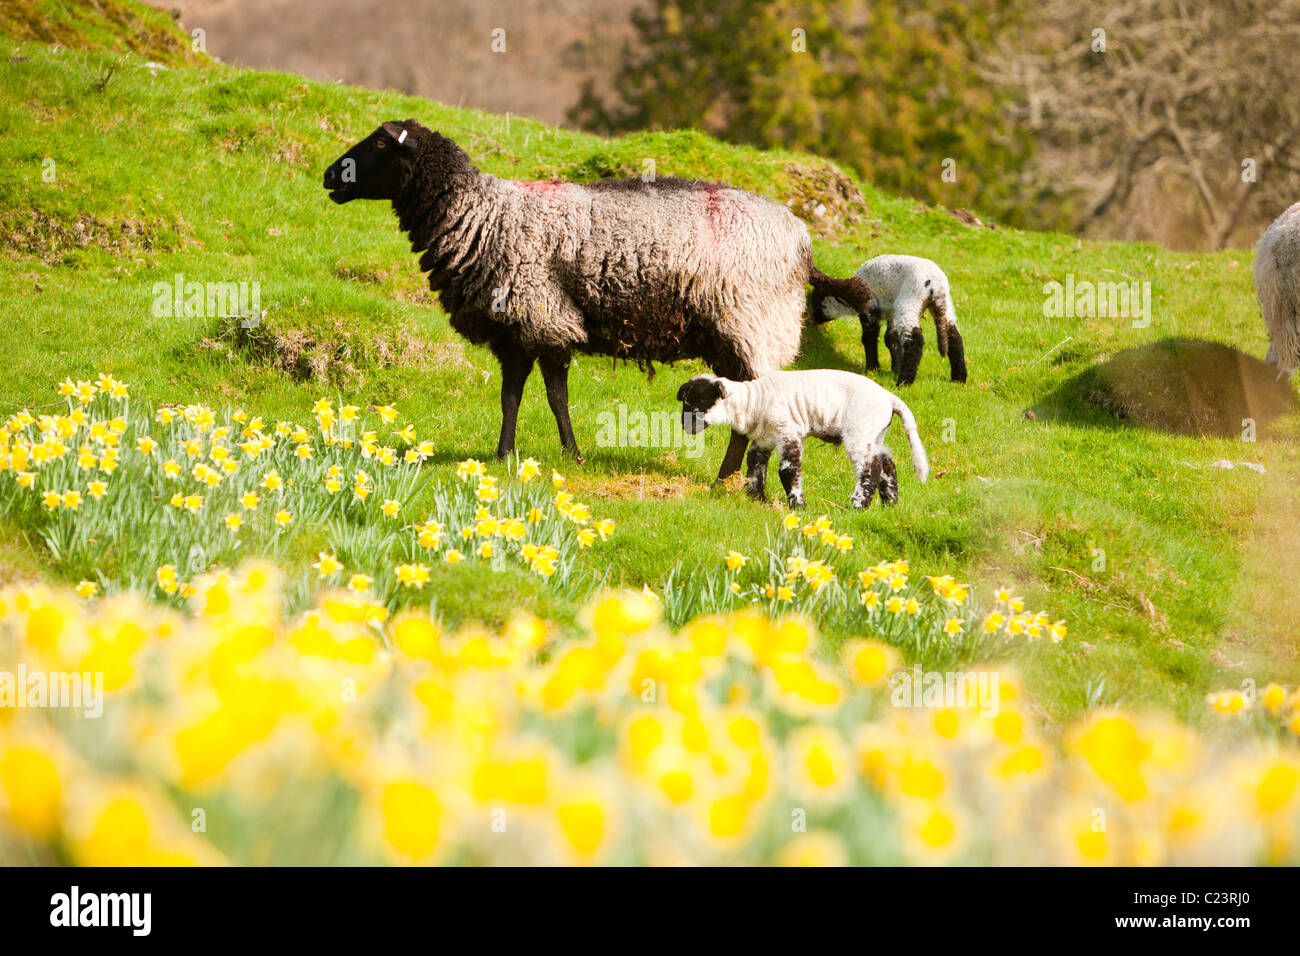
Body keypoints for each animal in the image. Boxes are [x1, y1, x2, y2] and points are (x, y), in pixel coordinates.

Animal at [321, 119, 876, 480]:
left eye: (378, 143)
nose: (330, 176)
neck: (482, 216)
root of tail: (802, 243)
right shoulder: (515, 332)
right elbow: (510, 396)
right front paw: (503, 455)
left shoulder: (544, 317)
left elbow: (555, 397)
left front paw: (572, 456)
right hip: (732, 335)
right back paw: (727, 477)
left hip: (755, 322)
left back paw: (733, 479)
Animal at [675, 369, 929, 510]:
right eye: (684, 403)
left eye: (697, 405)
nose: (684, 426)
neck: (753, 402)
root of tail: (889, 398)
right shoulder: (763, 440)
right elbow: (755, 467)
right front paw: (756, 499)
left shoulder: (789, 432)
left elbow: (788, 470)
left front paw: (798, 506)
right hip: (874, 435)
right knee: (887, 465)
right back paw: (890, 504)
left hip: (859, 432)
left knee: (870, 469)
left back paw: (857, 506)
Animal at [811, 254, 967, 385]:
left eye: (816, 302)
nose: (813, 320)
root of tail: (936, 284)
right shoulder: (890, 311)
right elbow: (891, 338)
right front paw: (895, 368)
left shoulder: (870, 308)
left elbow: (869, 337)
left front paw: (872, 368)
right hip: (945, 305)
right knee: (955, 337)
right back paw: (959, 378)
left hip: (910, 298)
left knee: (915, 341)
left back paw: (904, 382)